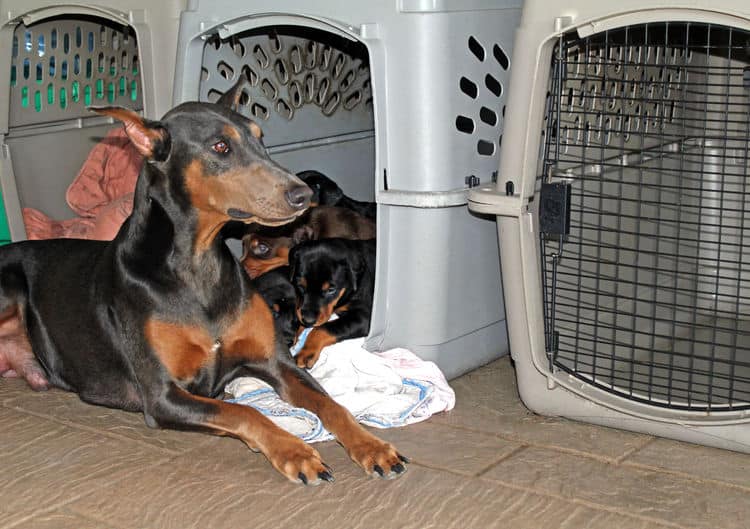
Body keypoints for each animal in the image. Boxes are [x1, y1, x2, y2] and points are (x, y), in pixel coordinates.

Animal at [288, 238, 376, 368]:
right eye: (300, 286)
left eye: (331, 290)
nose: (309, 320)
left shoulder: (363, 317)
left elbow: (322, 328)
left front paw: (306, 352)